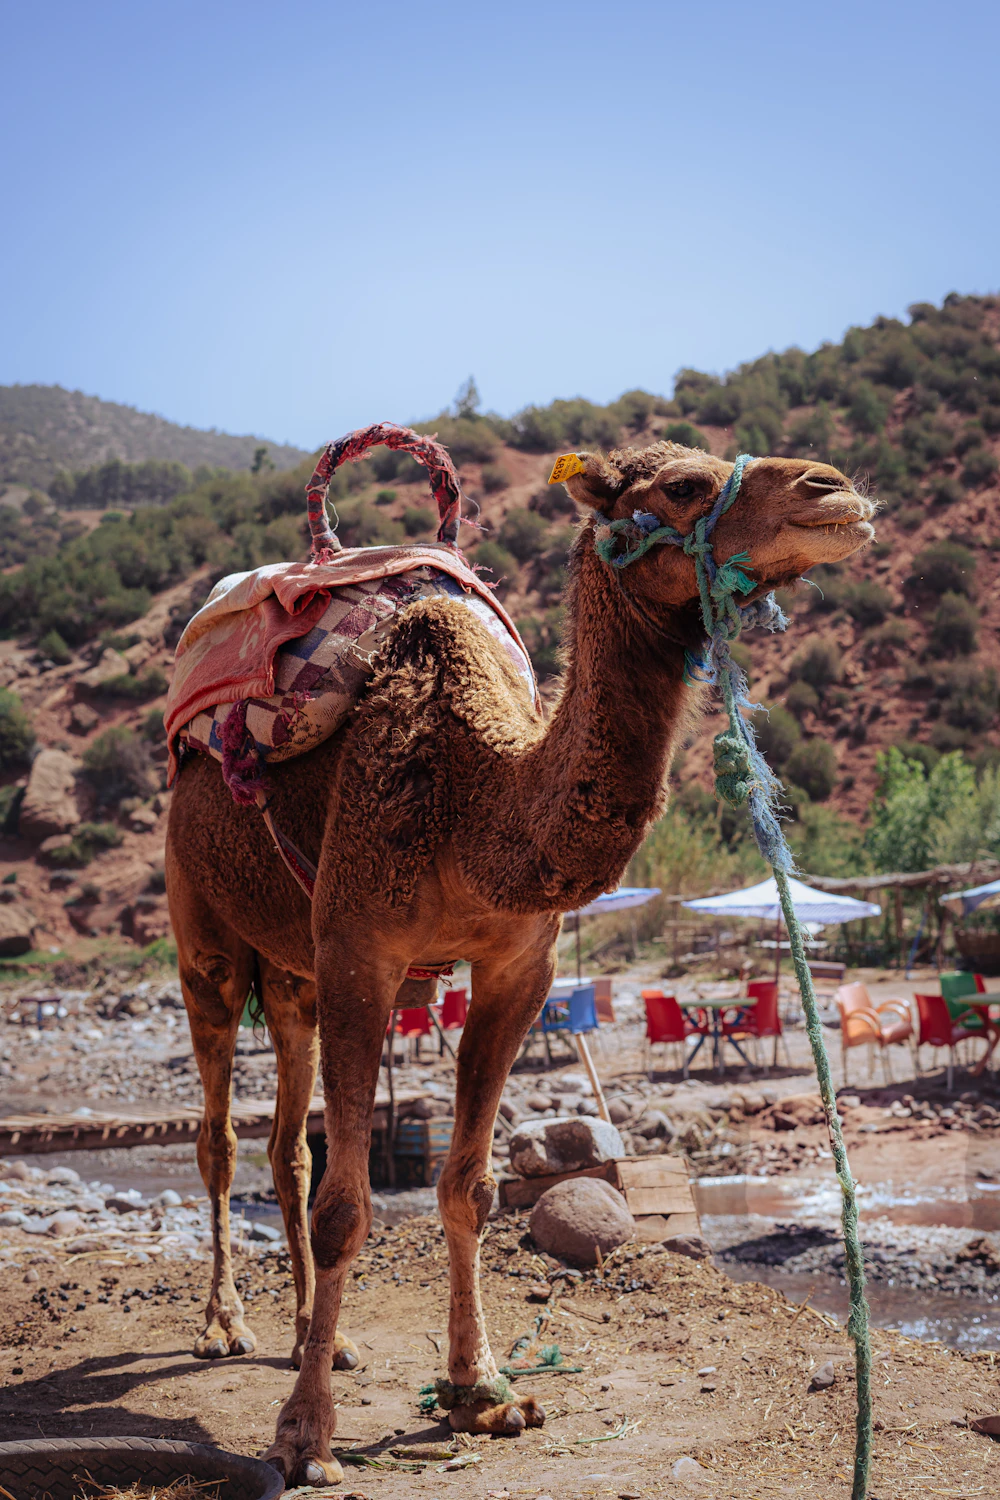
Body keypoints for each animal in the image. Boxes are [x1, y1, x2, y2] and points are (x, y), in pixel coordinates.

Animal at [164, 438, 874, 1485]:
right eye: (681, 485)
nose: (837, 492)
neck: (476, 794)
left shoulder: (516, 972)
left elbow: (469, 1187)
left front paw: (482, 1391)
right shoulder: (361, 951)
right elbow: (349, 1208)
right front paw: (304, 1439)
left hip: (290, 970)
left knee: (286, 1144)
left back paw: (315, 1338)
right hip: (204, 932)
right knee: (218, 1134)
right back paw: (226, 1326)